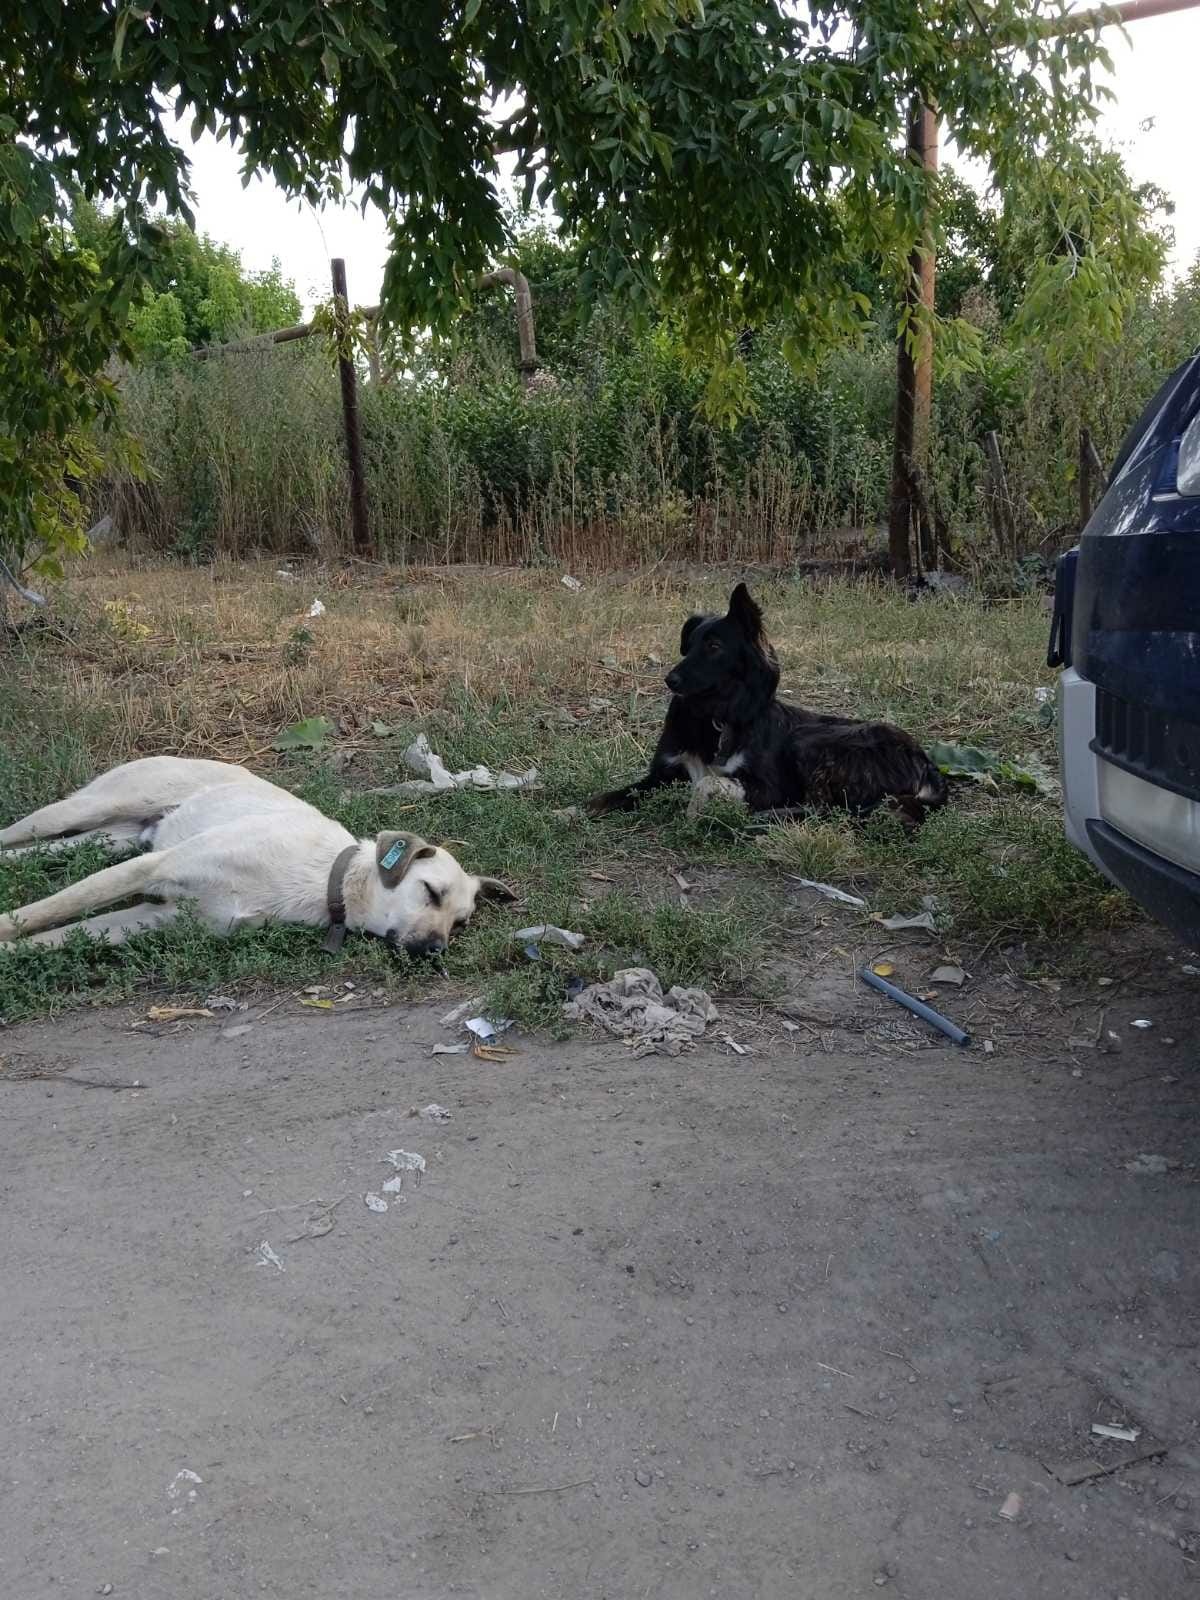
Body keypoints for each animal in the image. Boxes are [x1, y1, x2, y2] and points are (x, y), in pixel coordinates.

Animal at [0, 752, 512, 947]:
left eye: (461, 923)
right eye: (431, 893)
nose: (436, 950)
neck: (324, 879)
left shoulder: (157, 916)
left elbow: (52, 938)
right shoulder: (151, 867)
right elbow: (43, 912)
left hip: (110, 837)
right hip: (81, 811)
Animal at [592, 582, 947, 825]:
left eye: (714, 646)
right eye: (688, 645)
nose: (670, 680)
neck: (715, 716)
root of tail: (926, 762)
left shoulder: (769, 787)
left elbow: (709, 780)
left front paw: (699, 808)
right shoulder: (663, 773)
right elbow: (606, 798)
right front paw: (581, 811)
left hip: (810, 742)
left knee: (824, 809)